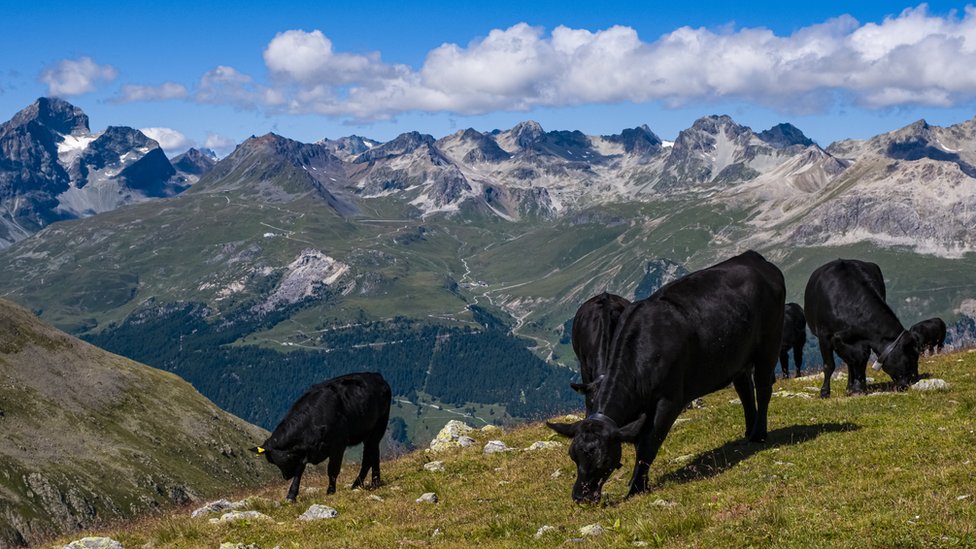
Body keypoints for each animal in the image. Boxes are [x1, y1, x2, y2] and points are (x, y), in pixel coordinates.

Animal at [252, 372, 392, 500]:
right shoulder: (304, 452)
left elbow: (332, 470)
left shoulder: (338, 446)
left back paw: (360, 484)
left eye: (288, 460)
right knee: (374, 453)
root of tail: (376, 375)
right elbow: (299, 472)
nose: (286, 476)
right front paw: (291, 495)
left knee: (368, 456)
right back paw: (374, 481)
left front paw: (330, 491)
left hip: (379, 426)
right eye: (275, 462)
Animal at [548, 250, 784, 504]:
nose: (580, 497)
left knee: (763, 388)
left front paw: (636, 487)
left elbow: (649, 444)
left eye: (603, 460)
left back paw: (759, 434)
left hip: (769, 345)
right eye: (573, 455)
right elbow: (640, 441)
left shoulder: (669, 400)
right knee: (744, 389)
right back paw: (748, 432)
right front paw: (639, 482)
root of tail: (753, 257)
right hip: (738, 356)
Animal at [804, 260, 920, 396]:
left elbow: (861, 361)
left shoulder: (864, 341)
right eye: (911, 357)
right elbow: (829, 365)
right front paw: (824, 392)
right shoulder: (824, 336)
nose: (913, 380)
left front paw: (859, 388)